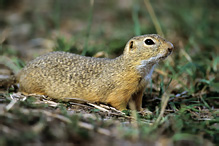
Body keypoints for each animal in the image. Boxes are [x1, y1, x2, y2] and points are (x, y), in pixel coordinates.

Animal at [16, 34, 174, 111]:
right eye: (149, 42)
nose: (171, 47)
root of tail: (22, 71)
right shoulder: (121, 90)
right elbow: (118, 103)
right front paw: (127, 112)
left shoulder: (139, 89)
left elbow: (138, 103)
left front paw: (143, 111)